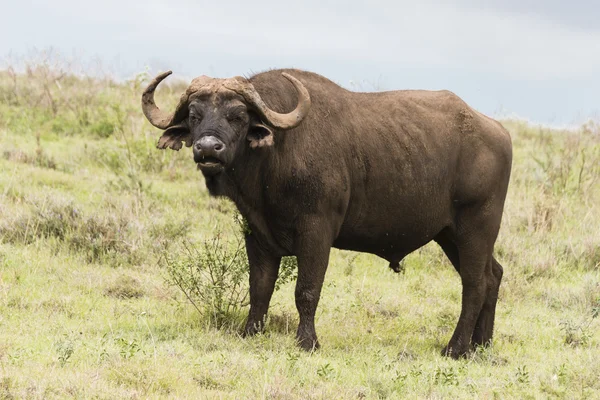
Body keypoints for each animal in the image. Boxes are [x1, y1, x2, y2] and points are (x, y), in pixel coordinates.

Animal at [141, 69, 510, 360]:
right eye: (194, 115)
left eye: (238, 116)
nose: (207, 148)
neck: (277, 154)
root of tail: (499, 133)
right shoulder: (257, 234)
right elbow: (260, 286)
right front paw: (250, 332)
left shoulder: (316, 232)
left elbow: (306, 290)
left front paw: (307, 342)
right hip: (449, 235)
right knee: (493, 275)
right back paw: (481, 345)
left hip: (475, 228)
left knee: (475, 284)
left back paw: (455, 348)